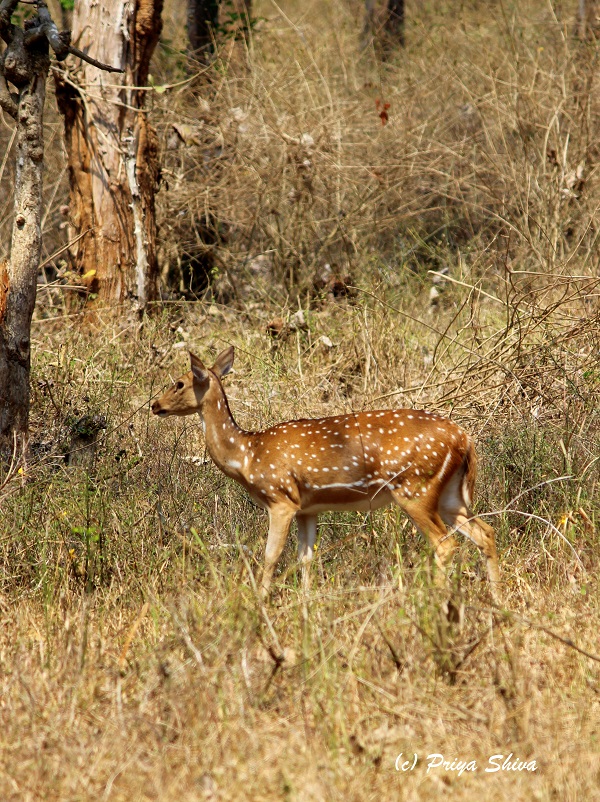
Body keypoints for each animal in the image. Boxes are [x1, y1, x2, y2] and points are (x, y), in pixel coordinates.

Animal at [152, 346, 500, 596]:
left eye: (179, 383)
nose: (155, 405)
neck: (247, 454)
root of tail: (464, 439)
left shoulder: (281, 499)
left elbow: (271, 554)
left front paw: (260, 600)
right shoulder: (308, 508)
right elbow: (306, 556)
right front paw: (306, 603)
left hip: (415, 488)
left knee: (446, 543)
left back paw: (439, 600)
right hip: (450, 494)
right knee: (486, 532)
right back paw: (496, 600)